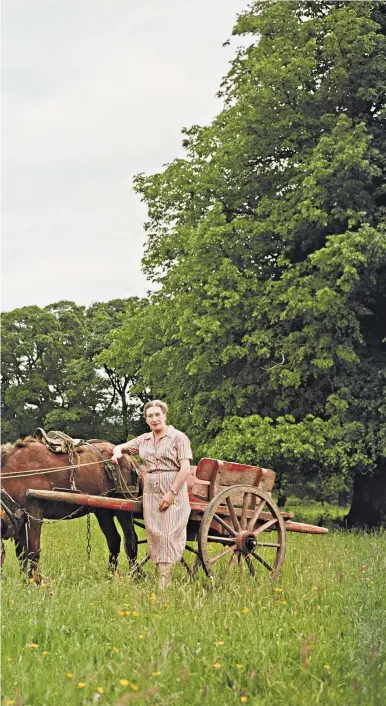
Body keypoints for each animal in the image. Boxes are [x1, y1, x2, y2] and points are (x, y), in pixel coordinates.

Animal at [0, 434, 139, 584]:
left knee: (131, 539)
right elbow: (21, 553)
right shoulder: (19, 517)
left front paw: (35, 581)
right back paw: (111, 576)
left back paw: (134, 575)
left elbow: (33, 550)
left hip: (124, 506)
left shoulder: (34, 513)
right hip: (103, 510)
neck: (17, 472)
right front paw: (25, 581)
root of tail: (129, 458)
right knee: (114, 539)